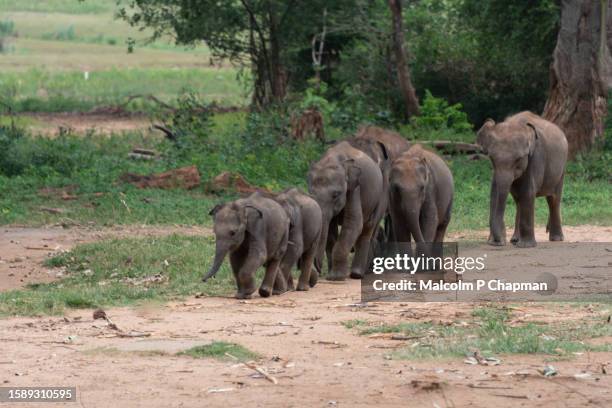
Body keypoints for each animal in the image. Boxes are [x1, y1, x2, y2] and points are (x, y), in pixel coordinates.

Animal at [308, 141, 384, 280]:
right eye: (310, 193)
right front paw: (331, 274)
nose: (319, 268)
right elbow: (331, 232)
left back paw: (357, 274)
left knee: (367, 228)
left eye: (336, 194)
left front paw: (336, 277)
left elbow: (353, 223)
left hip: (380, 195)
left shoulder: (354, 187)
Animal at [474, 110, 568, 247]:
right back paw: (514, 240)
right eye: (492, 159)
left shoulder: (536, 157)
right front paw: (495, 242)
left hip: (561, 170)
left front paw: (526, 246)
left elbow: (528, 191)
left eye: (518, 159)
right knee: (518, 200)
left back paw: (556, 239)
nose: (498, 242)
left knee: (554, 199)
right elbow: (494, 193)